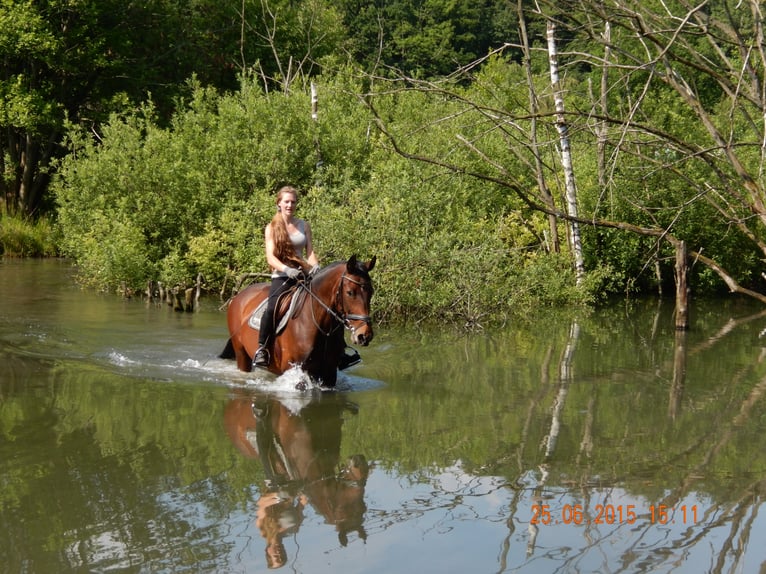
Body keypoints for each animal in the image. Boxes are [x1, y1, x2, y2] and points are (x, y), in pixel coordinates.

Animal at [220, 255, 375, 386]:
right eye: (350, 292)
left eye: (371, 292)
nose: (365, 335)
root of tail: (238, 296)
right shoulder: (294, 370)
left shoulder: (329, 374)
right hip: (241, 354)